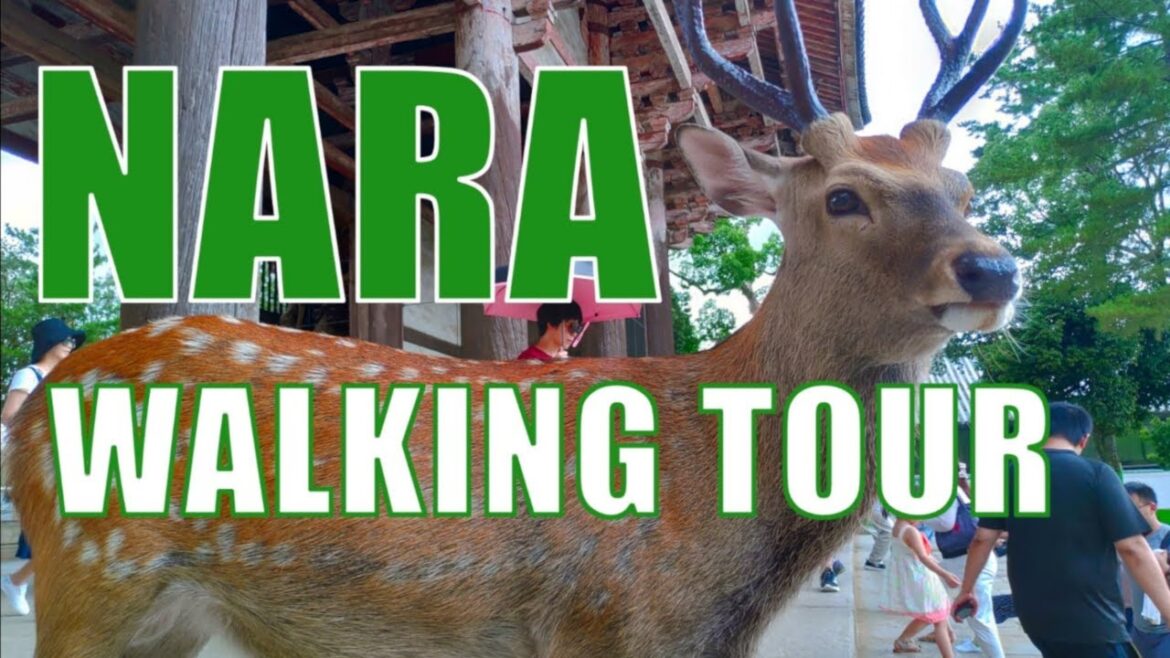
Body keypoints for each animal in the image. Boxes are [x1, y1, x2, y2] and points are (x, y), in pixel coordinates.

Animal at [3, 0, 1027, 656]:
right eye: (845, 196)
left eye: (967, 188)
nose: (995, 267)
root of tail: (33, 416)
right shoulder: (602, 622)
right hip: (91, 584)